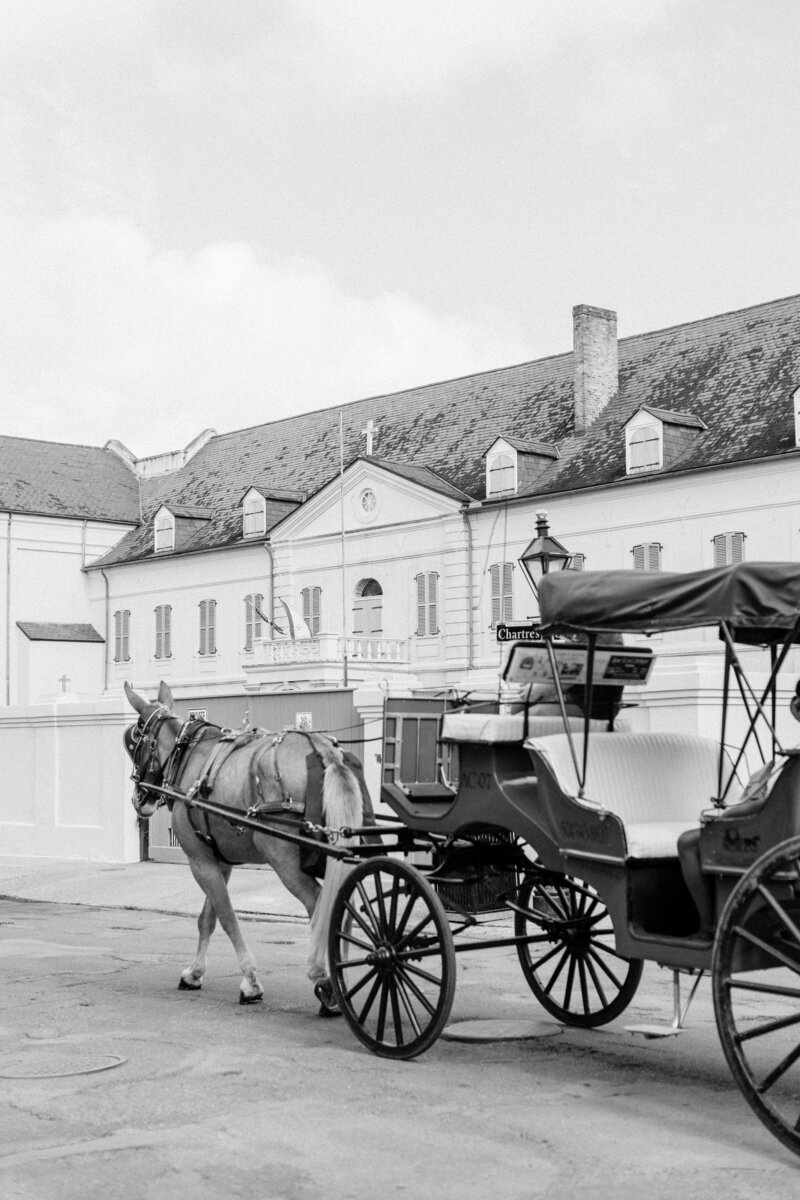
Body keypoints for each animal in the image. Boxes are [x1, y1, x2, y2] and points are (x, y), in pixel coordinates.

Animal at [123, 681, 364, 1008]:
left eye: (137, 737)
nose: (138, 799)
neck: (189, 756)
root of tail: (323, 751)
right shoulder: (218, 860)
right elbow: (207, 918)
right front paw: (194, 973)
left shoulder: (199, 861)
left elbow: (227, 917)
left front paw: (250, 981)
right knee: (342, 904)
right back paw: (343, 979)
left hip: (284, 860)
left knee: (319, 905)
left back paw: (323, 978)